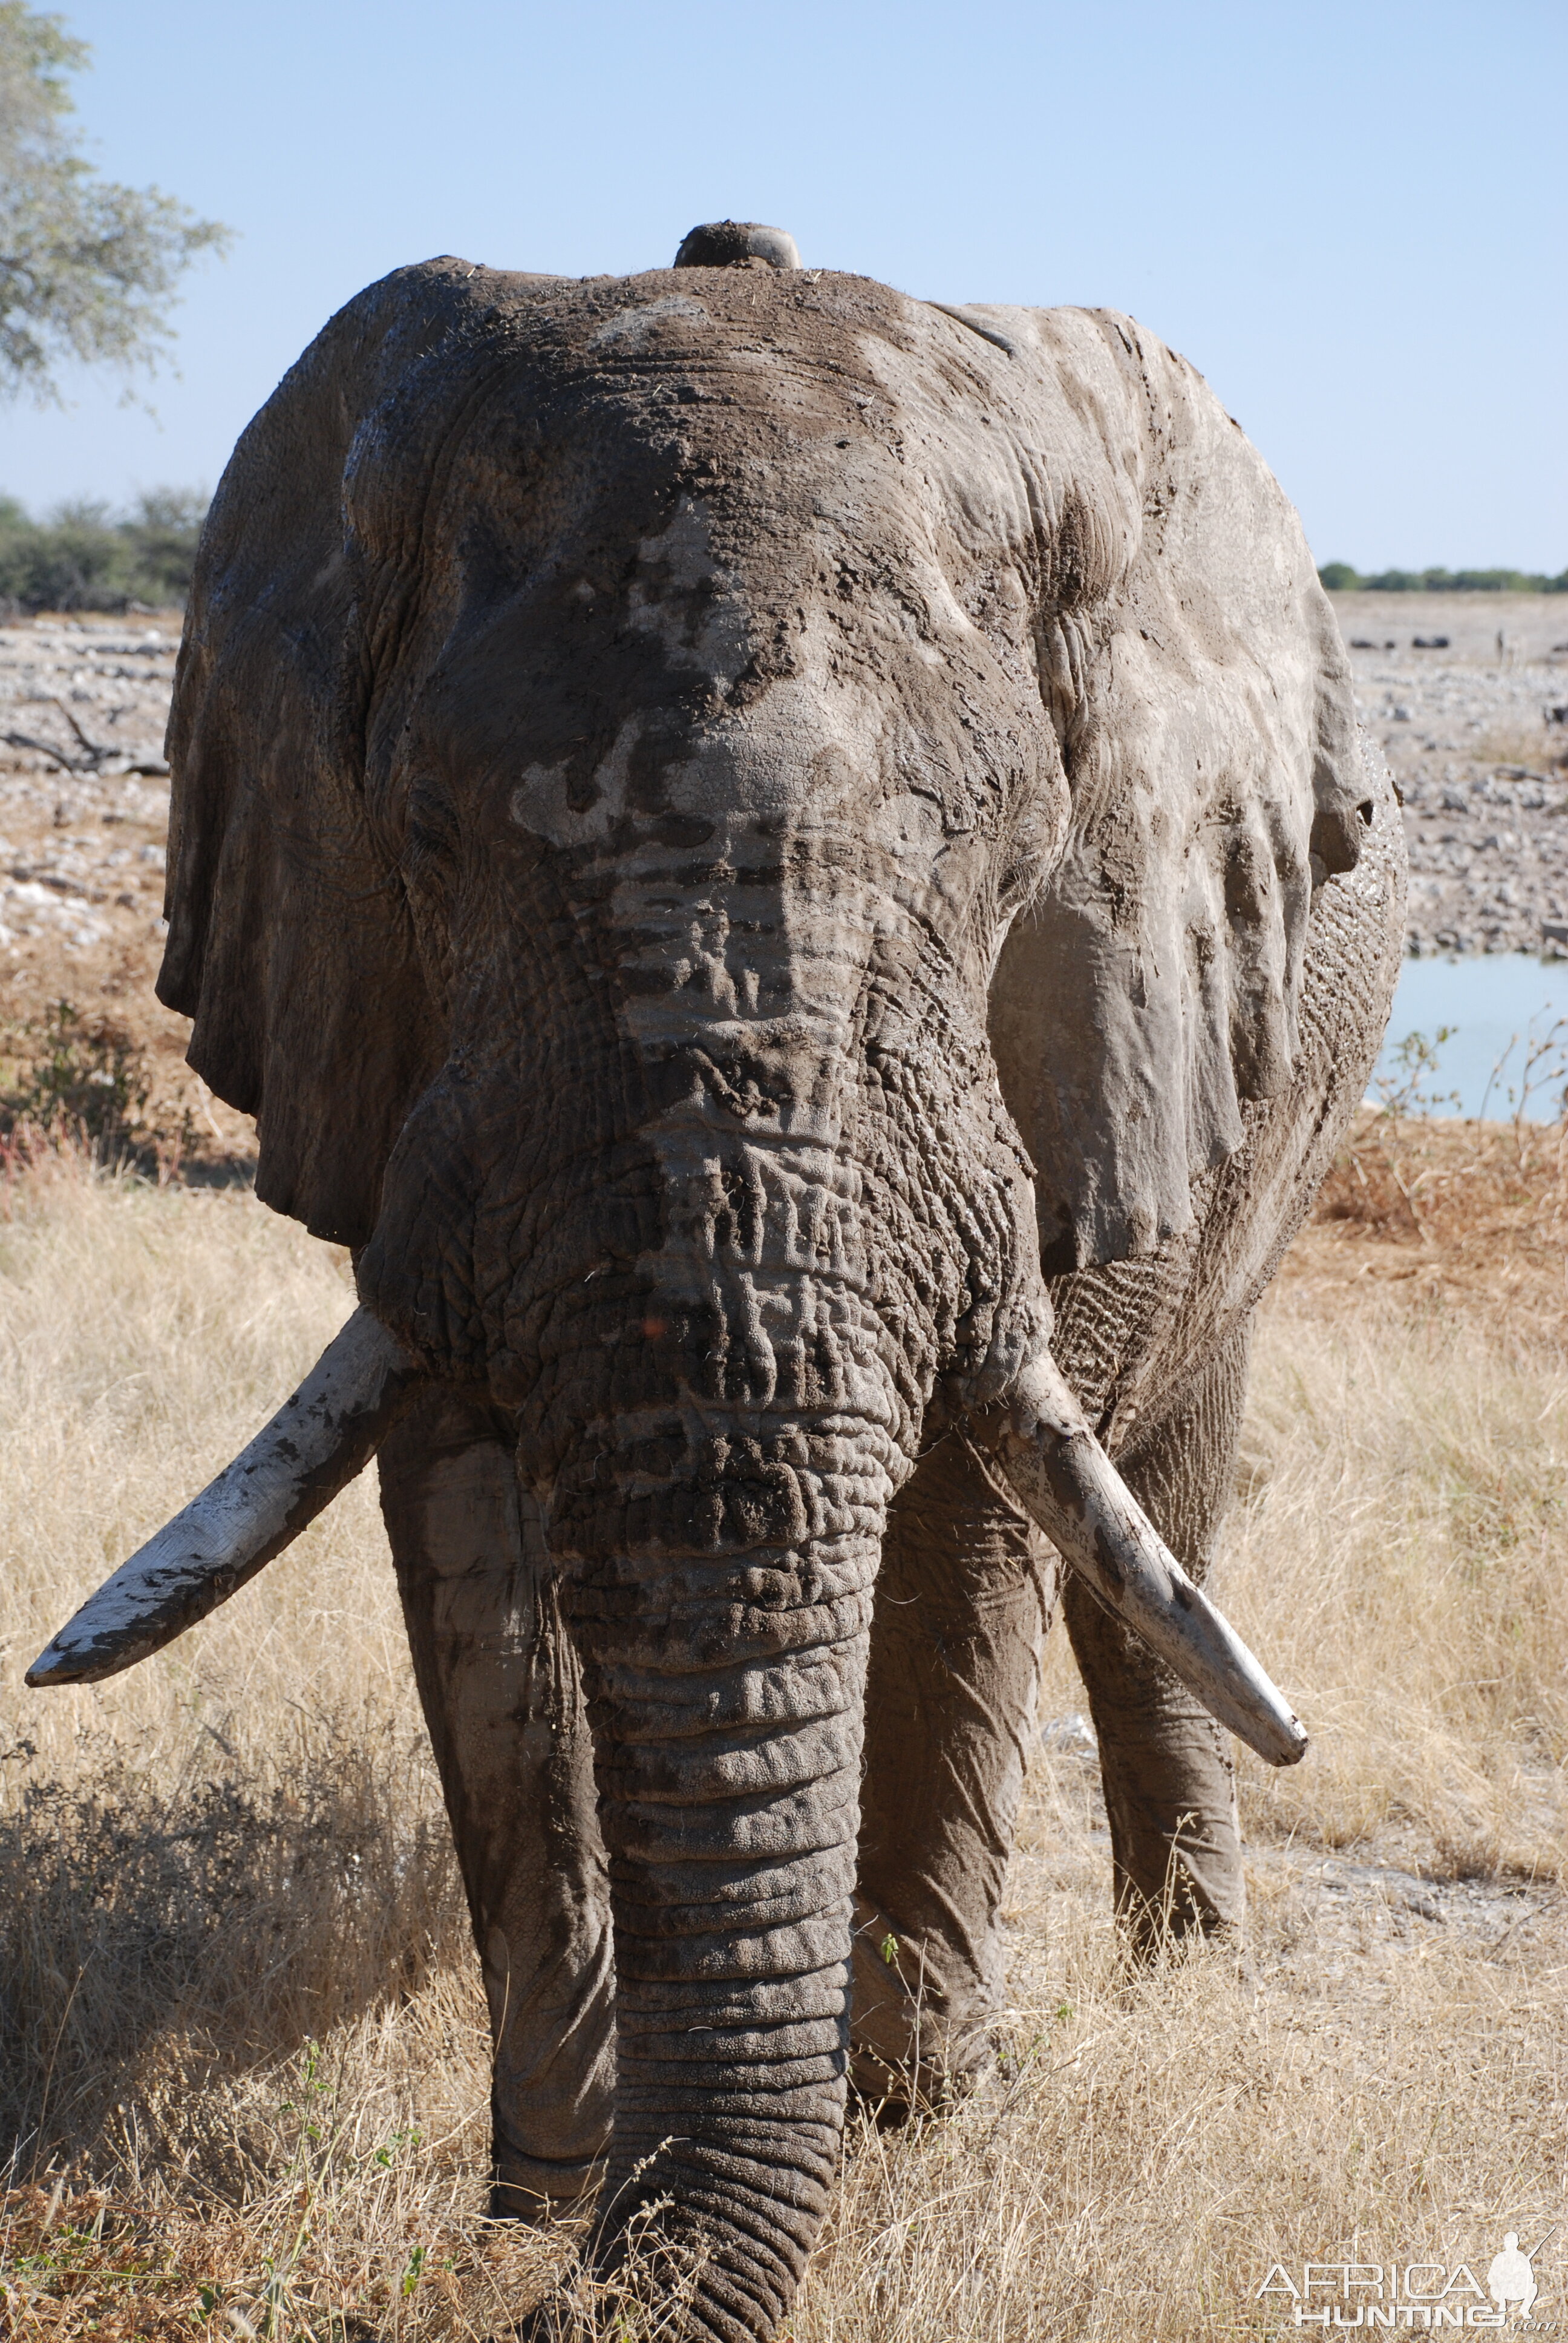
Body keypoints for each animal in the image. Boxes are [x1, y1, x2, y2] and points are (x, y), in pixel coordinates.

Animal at [30, 223, 1406, 2343]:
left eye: (1017, 857)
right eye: (423, 837)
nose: (557, 2309)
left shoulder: (1089, 1037)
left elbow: (963, 1526)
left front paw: (920, 2137)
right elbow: (470, 1533)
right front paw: (540, 2194)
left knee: (1156, 1526)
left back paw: (1189, 1969)